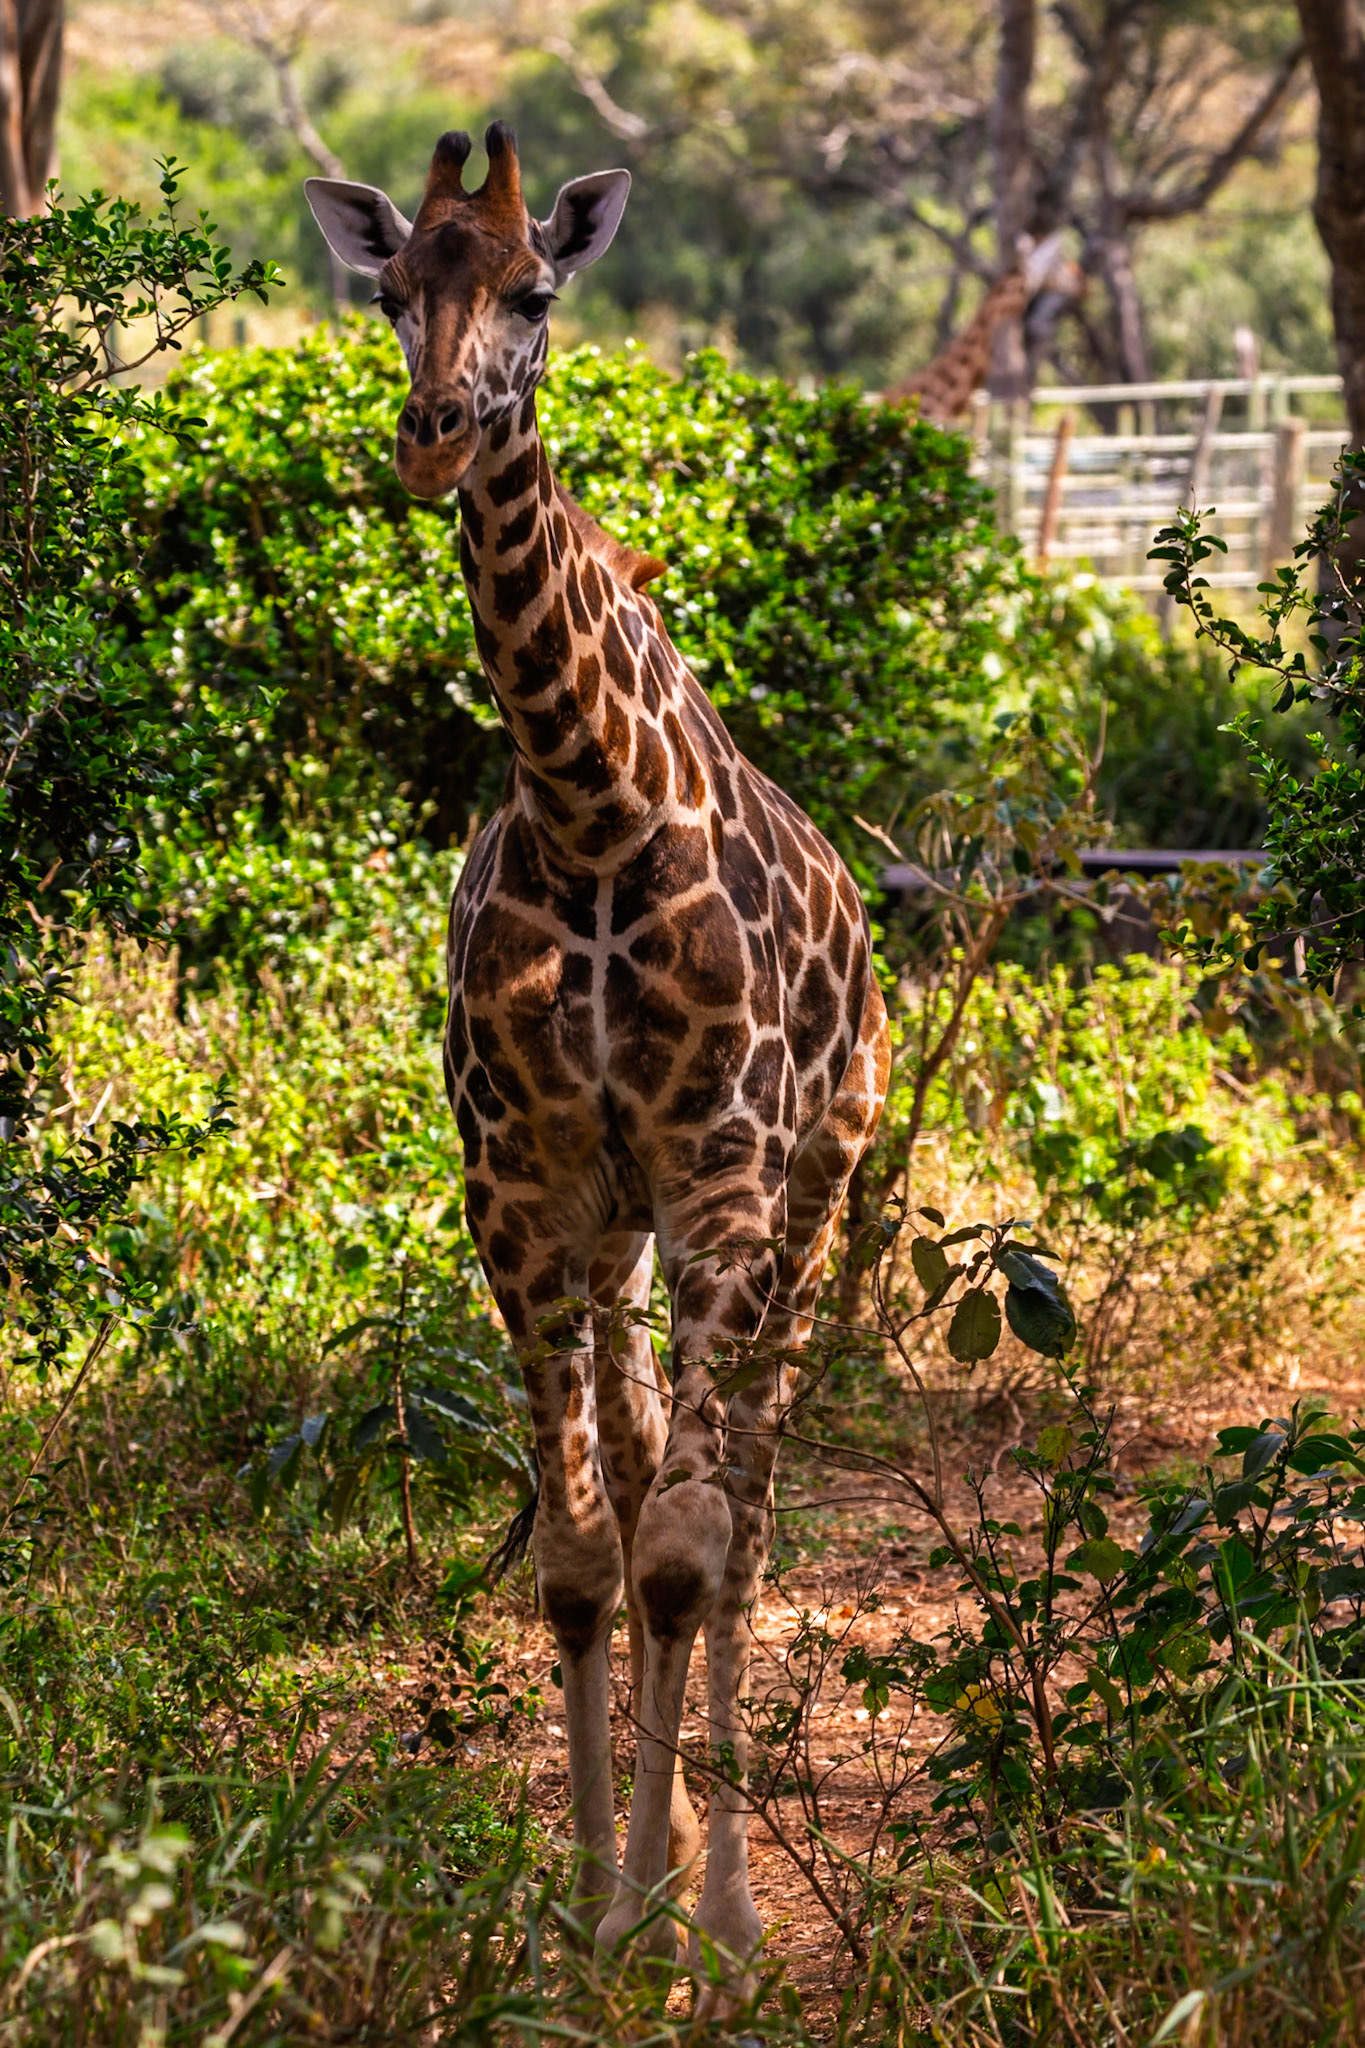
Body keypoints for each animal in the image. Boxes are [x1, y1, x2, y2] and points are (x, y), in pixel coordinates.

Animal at [305, 125, 891, 2002]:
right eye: (392, 289)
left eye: (539, 291)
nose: (434, 434)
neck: (594, 812)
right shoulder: (526, 1193)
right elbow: (580, 1563)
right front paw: (583, 1915)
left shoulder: (719, 1178)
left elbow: (690, 1560)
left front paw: (695, 1923)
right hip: (628, 1236)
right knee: (642, 1489)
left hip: (812, 1198)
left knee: (746, 1506)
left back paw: (723, 1885)